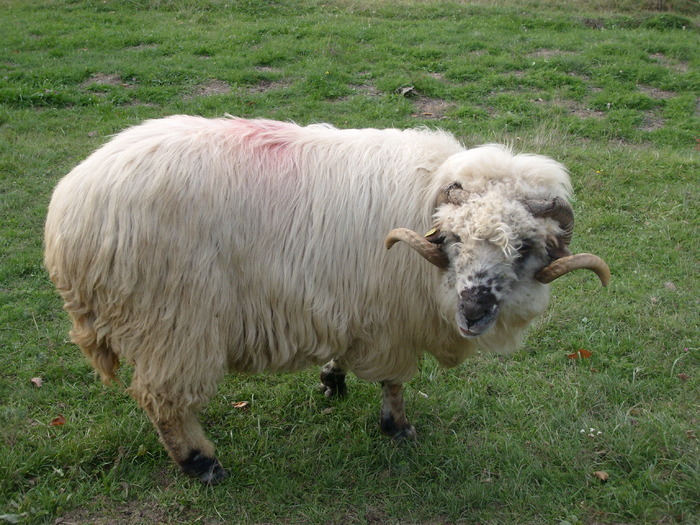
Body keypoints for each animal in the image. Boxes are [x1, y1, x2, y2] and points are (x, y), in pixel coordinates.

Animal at [44, 115, 609, 484]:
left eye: (525, 249)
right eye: (451, 239)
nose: (473, 311)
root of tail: (69, 208)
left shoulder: (352, 306)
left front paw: (332, 378)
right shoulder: (389, 322)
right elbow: (394, 381)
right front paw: (397, 428)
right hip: (173, 322)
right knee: (161, 401)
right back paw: (202, 464)